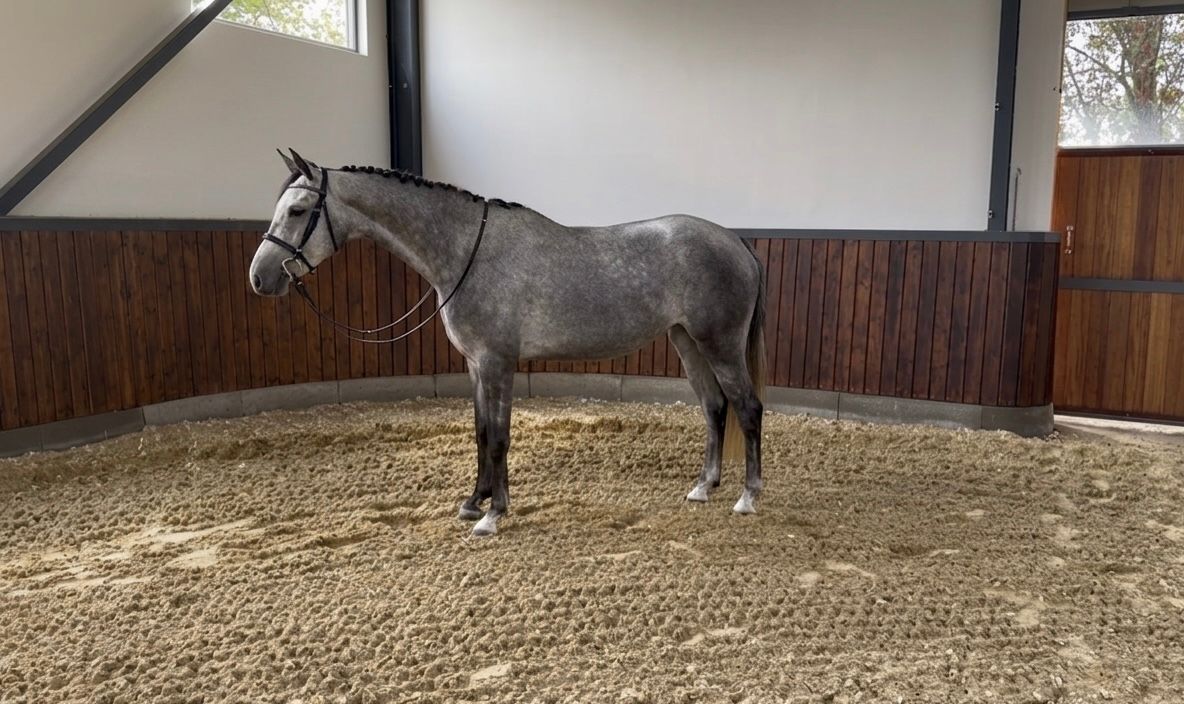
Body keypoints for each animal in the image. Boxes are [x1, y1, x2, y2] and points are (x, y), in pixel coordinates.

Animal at [250, 149, 766, 537]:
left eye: (297, 211)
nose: (259, 277)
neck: (466, 253)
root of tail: (736, 242)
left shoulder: (499, 363)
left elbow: (499, 436)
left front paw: (494, 514)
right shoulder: (476, 365)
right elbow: (480, 433)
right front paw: (473, 501)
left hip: (719, 344)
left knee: (748, 408)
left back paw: (747, 496)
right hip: (686, 342)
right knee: (714, 407)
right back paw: (704, 486)